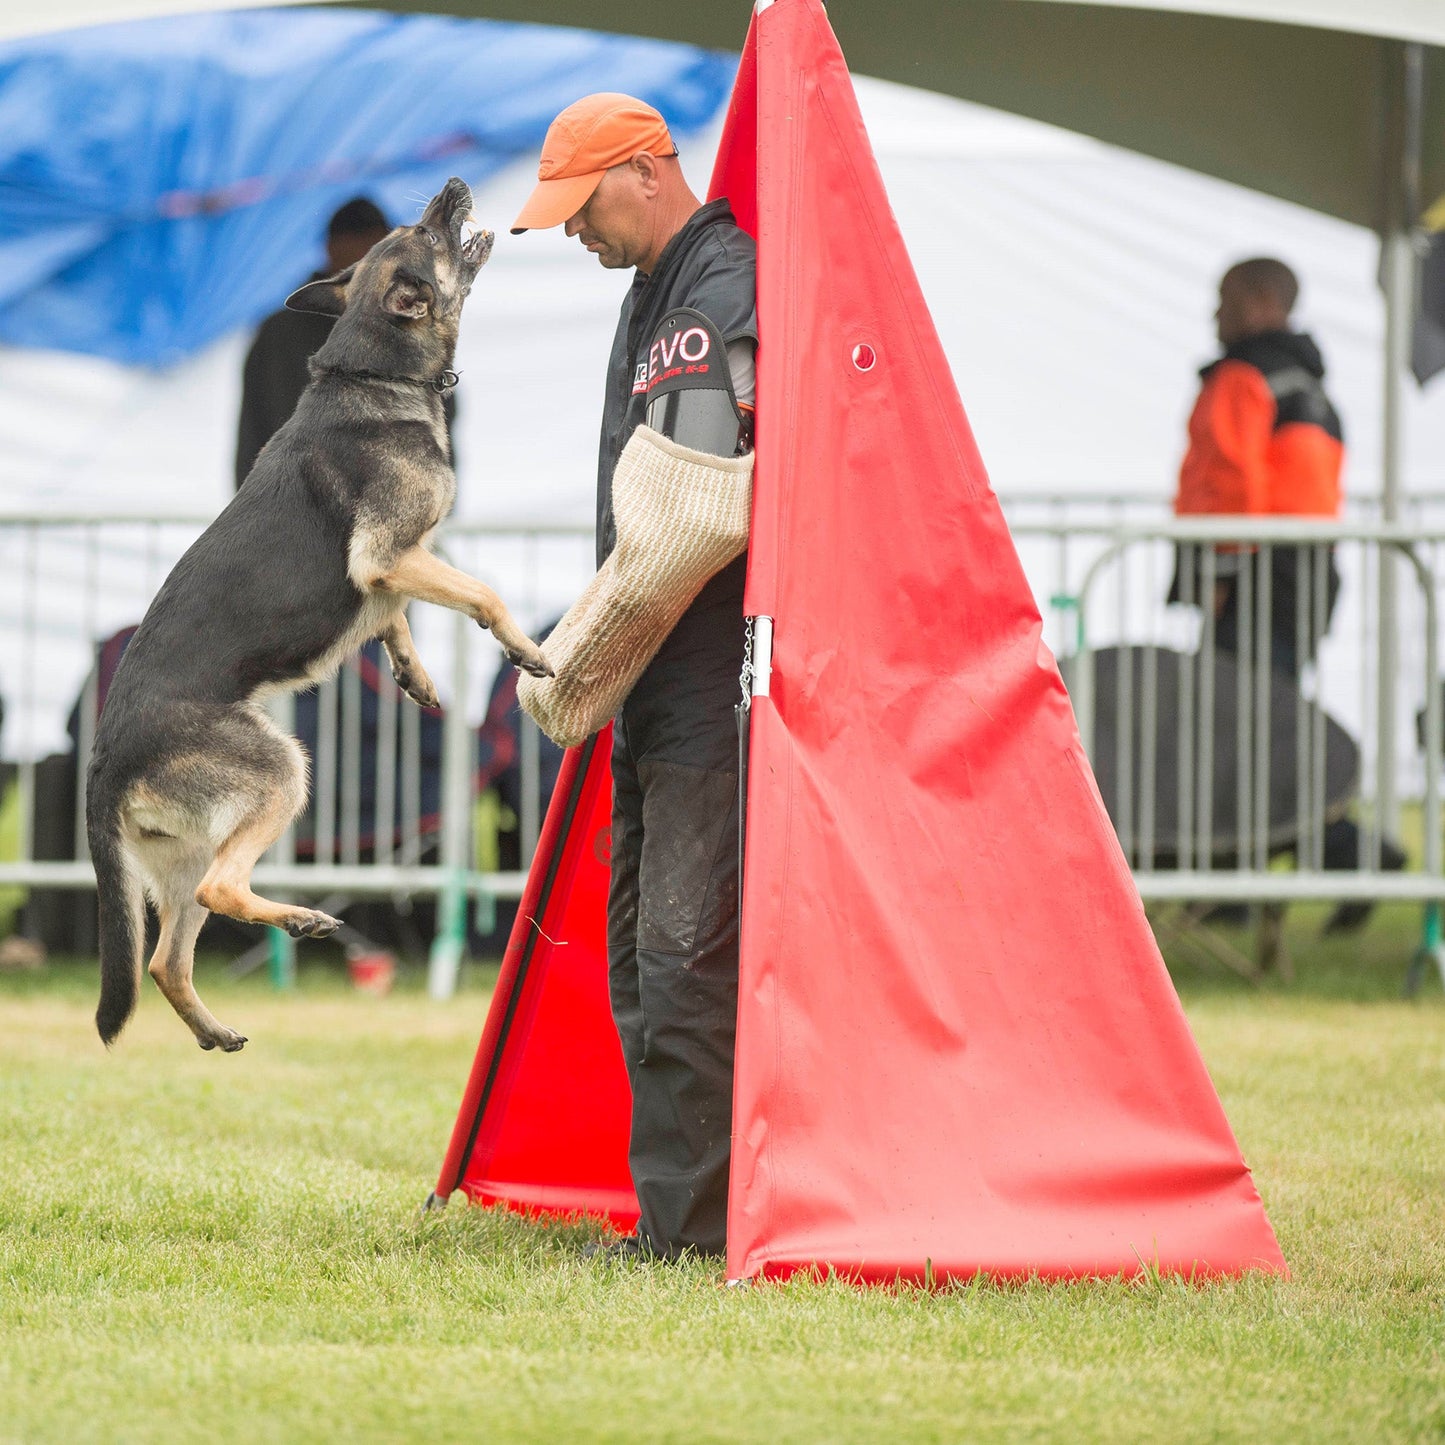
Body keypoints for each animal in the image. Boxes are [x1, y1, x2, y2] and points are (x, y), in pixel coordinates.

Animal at [85, 177, 546, 1051]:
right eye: (425, 231)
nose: (453, 188)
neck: (373, 370)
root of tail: (105, 761)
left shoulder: (395, 571)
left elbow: (392, 617)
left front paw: (413, 671)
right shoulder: (388, 555)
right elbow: (482, 593)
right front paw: (525, 650)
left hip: (183, 857)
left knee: (165, 955)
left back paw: (214, 1028)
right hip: (280, 774)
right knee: (223, 890)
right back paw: (300, 918)